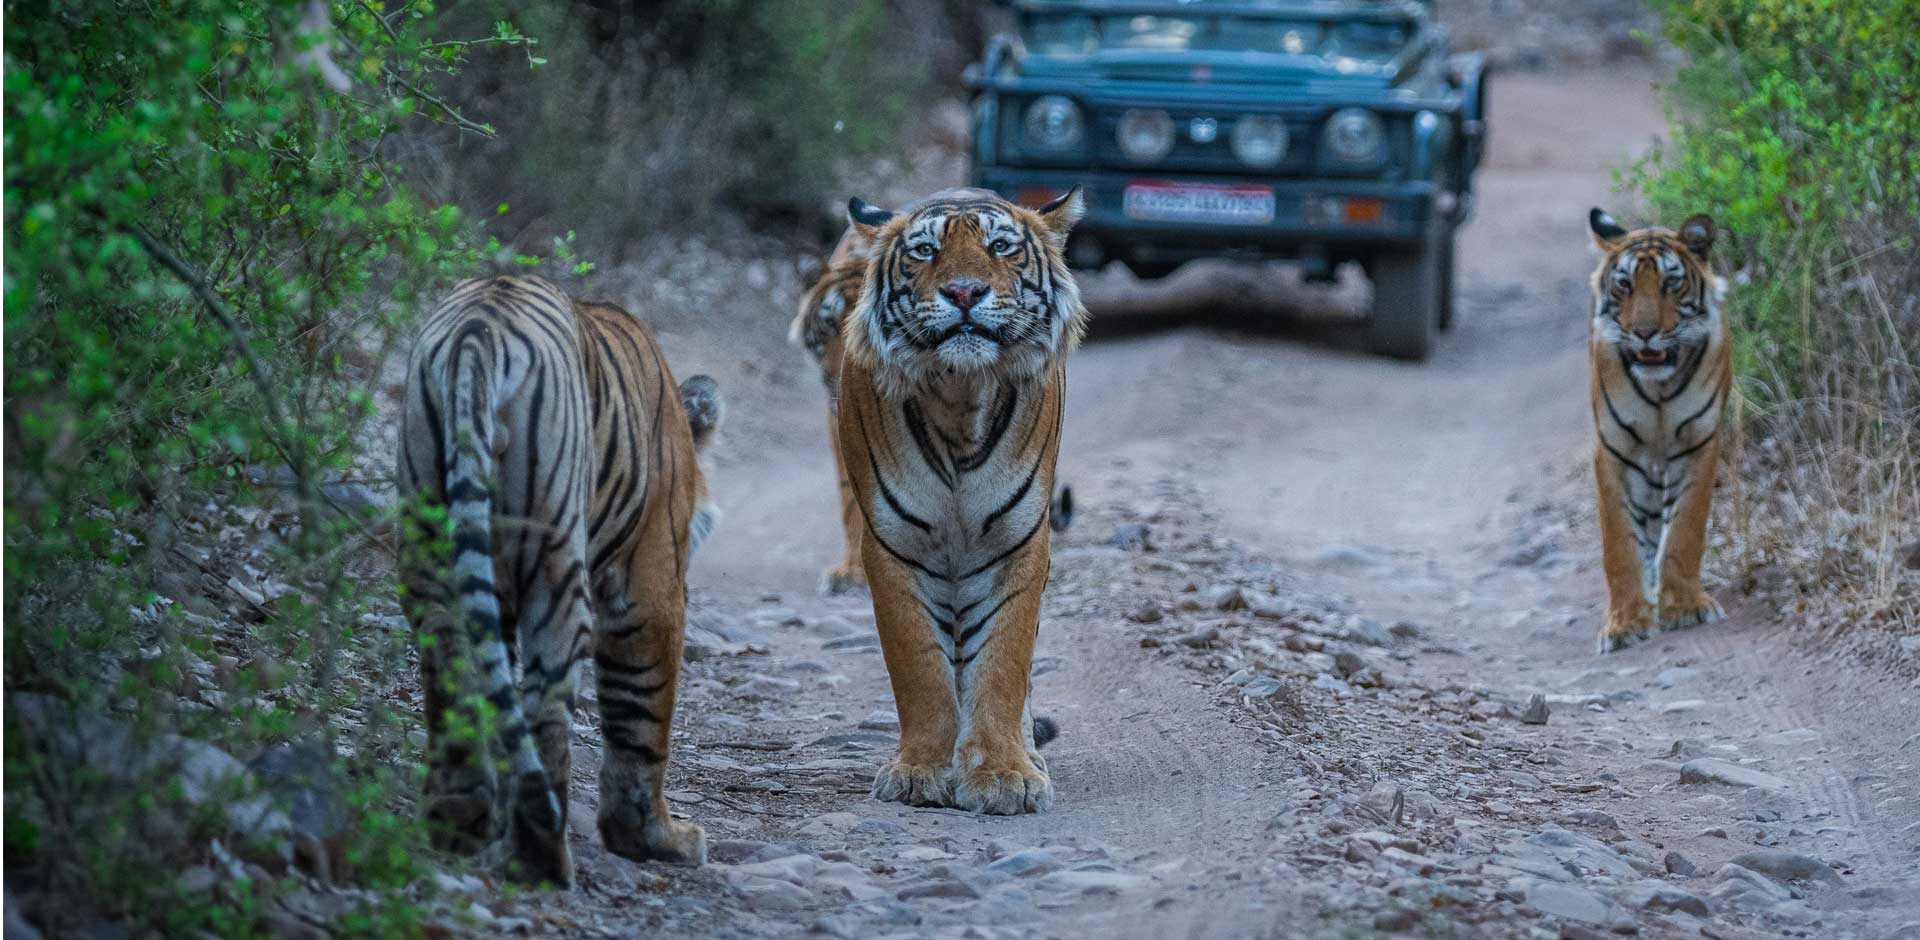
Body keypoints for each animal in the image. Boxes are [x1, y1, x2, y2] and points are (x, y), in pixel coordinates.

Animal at [395, 274, 721, 882]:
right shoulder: (651, 583)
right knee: (546, 705)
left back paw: (460, 820)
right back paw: (542, 855)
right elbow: (642, 713)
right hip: (555, 565)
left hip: (430, 541)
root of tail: (479, 330)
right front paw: (654, 837)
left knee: (453, 668)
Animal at [829, 187, 1090, 813]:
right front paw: (920, 771)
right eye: (925, 251)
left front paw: (1004, 774)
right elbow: (919, 666)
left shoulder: (1018, 543)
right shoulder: (892, 545)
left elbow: (1002, 663)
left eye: (1001, 247)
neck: (959, 394)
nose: (965, 292)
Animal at [1582, 208, 1735, 652]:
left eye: (1671, 283)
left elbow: (1685, 529)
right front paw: (1623, 624)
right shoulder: (1613, 450)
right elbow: (1619, 543)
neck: (1659, 389)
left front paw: (1684, 607)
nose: (1645, 332)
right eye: (1624, 285)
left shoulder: (1699, 443)